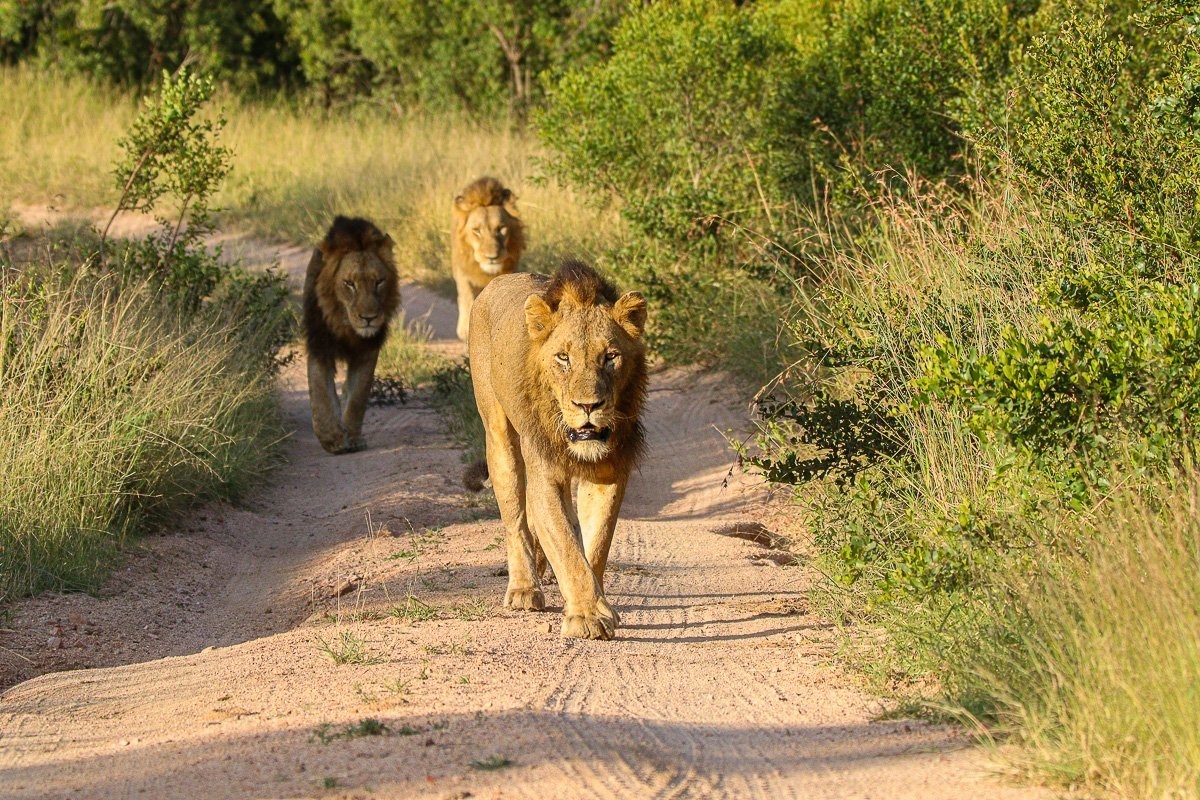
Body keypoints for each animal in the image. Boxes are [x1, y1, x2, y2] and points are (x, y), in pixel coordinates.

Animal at [303, 216, 400, 454]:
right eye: (349, 284)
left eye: (379, 282)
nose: (369, 318)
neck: (346, 326)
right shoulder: (319, 345)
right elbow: (320, 393)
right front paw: (332, 440)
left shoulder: (367, 351)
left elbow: (357, 396)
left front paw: (352, 437)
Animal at [452, 176, 525, 341]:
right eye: (476, 230)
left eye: (501, 228)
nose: (492, 257)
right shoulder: (464, 274)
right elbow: (467, 297)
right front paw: (465, 330)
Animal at [468, 260, 648, 640]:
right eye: (563, 357)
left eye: (610, 357)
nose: (589, 405)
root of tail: (495, 282)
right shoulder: (546, 476)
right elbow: (568, 547)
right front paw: (587, 617)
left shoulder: (609, 473)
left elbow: (595, 544)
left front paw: (595, 605)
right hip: (500, 438)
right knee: (516, 521)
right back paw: (524, 588)